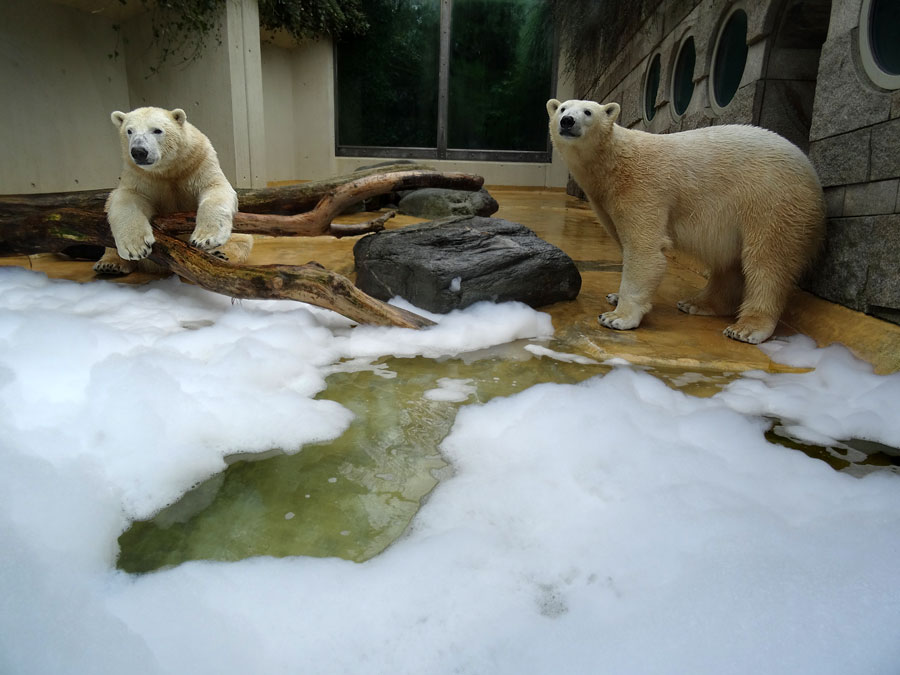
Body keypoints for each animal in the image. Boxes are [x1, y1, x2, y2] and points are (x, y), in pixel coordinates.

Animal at [94, 105, 251, 274]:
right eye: (129, 131)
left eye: (157, 130)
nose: (139, 151)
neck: (168, 170)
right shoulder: (140, 175)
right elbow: (128, 198)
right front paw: (136, 247)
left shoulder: (198, 162)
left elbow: (215, 187)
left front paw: (205, 238)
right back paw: (109, 265)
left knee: (242, 239)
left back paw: (219, 255)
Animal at [544, 96, 828, 344]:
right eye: (563, 108)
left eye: (588, 111)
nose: (567, 121)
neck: (612, 162)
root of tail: (811, 171)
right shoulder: (604, 199)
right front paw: (614, 296)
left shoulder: (643, 188)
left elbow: (645, 250)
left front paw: (617, 317)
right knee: (730, 264)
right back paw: (697, 303)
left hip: (772, 200)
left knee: (767, 262)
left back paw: (746, 328)